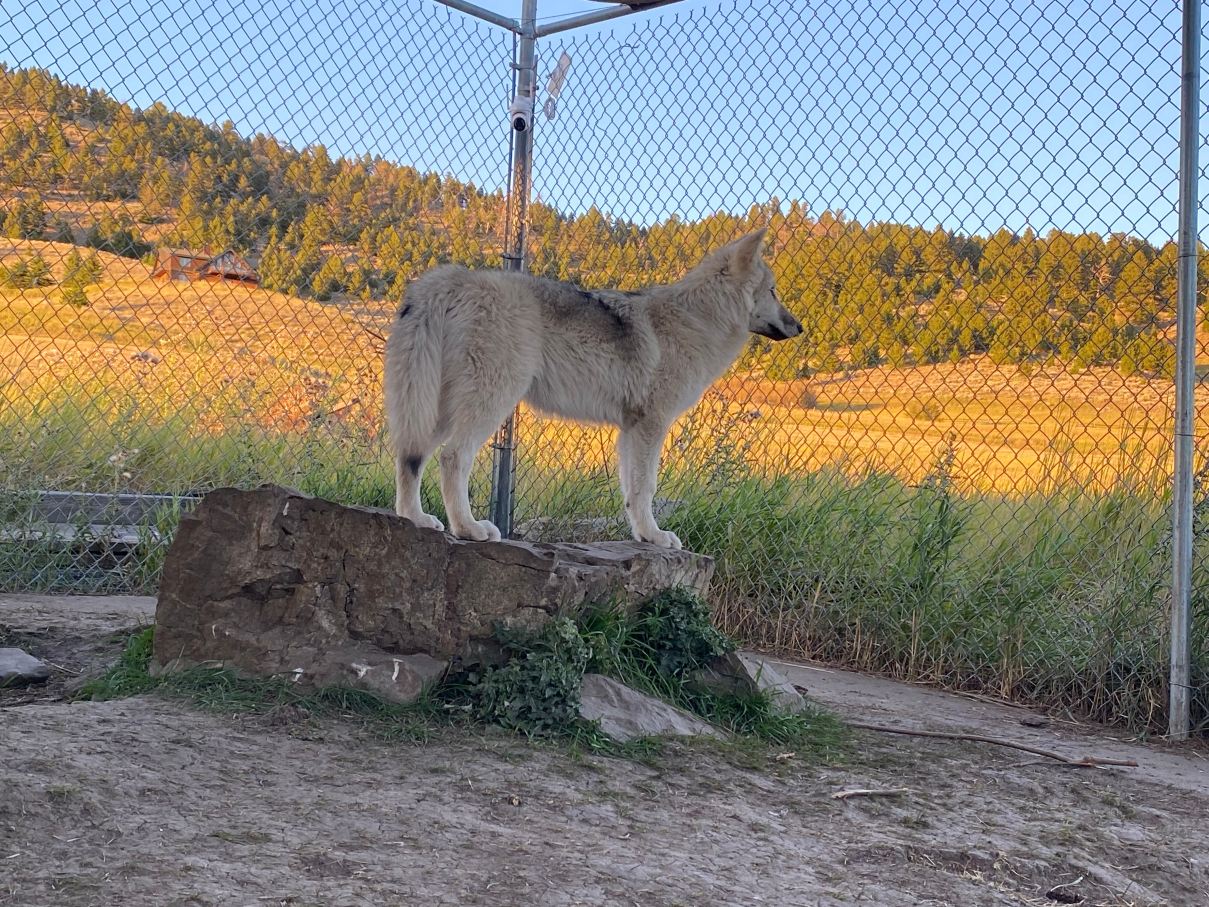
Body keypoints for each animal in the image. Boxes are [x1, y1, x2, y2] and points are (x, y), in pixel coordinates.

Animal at [383, 228, 802, 549]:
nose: (799, 327)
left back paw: (416, 519)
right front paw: (657, 537)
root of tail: (453, 279)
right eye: (774, 291)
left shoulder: (631, 430)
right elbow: (646, 487)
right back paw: (469, 528)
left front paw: (643, 536)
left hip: (435, 411)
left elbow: (632, 493)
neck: (698, 321)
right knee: (452, 458)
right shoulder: (652, 425)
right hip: (489, 404)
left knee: (409, 458)